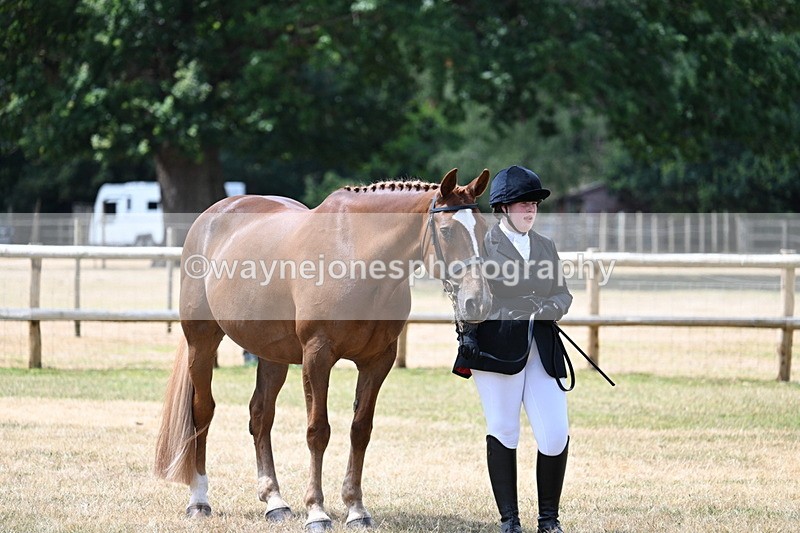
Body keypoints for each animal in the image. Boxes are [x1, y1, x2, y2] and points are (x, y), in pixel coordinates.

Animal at [154, 168, 492, 529]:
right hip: (202, 342)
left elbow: (360, 430)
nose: (478, 301)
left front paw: (356, 509)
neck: (354, 255)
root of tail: (210, 218)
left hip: (271, 355)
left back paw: (274, 501)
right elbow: (318, 431)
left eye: (484, 230)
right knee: (203, 411)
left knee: (260, 416)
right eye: (447, 230)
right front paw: (317, 511)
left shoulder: (378, 361)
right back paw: (199, 499)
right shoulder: (317, 356)